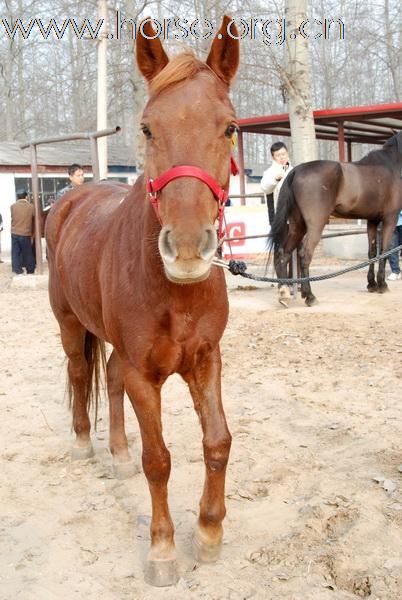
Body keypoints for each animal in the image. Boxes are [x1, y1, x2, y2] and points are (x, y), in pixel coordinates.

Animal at [45, 17, 239, 584]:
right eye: (149, 128)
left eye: (230, 127)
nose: (189, 247)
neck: (176, 292)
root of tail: (69, 198)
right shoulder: (142, 373)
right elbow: (159, 460)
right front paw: (163, 550)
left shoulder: (206, 360)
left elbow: (217, 442)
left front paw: (209, 532)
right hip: (69, 325)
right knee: (79, 373)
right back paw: (86, 444)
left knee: (105, 378)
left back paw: (118, 454)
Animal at [268, 133, 402, 308]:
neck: (391, 164)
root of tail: (296, 171)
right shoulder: (390, 219)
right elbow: (384, 252)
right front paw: (382, 285)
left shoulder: (372, 221)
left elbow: (372, 252)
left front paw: (371, 284)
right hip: (315, 225)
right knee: (304, 254)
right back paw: (309, 296)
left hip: (297, 225)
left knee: (284, 253)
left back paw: (284, 292)